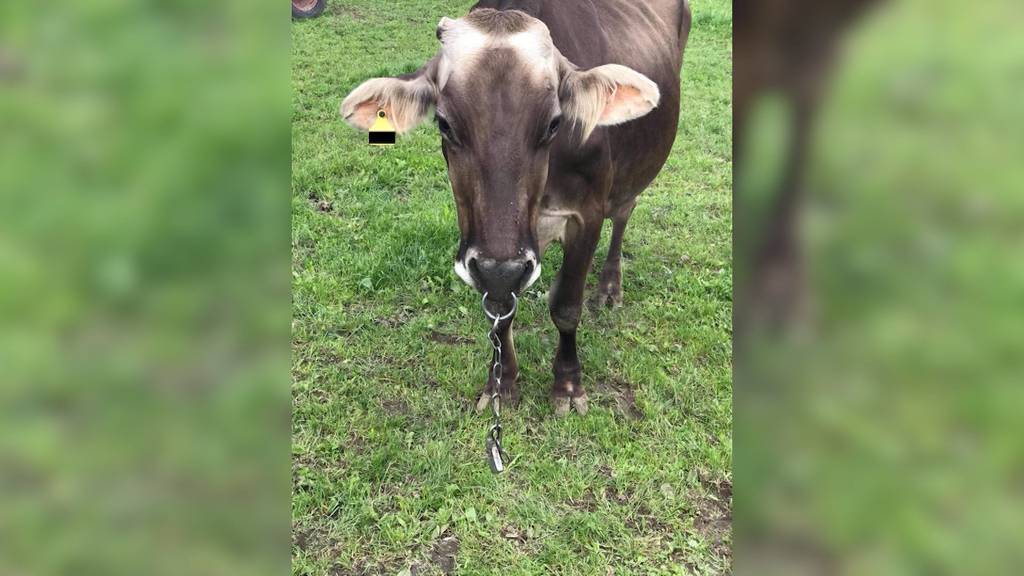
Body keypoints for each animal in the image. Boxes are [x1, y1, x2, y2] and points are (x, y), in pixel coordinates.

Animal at [339, 0, 692, 412]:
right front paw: (501, 383)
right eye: (443, 123)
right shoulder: (484, 249)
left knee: (624, 212)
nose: (503, 268)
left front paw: (568, 385)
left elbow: (566, 306)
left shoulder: (585, 214)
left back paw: (609, 288)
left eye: (554, 123)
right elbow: (499, 309)